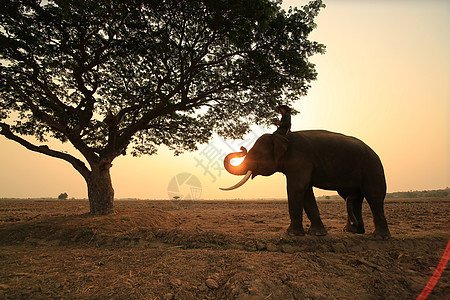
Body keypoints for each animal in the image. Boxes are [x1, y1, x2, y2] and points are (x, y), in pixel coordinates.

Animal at [221, 129, 390, 239]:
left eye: (256, 154)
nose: (242, 148)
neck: (283, 137)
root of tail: (374, 152)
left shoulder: (300, 158)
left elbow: (296, 187)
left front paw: (292, 234)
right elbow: (306, 190)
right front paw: (317, 233)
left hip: (373, 169)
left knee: (374, 196)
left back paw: (380, 236)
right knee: (352, 198)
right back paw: (352, 231)